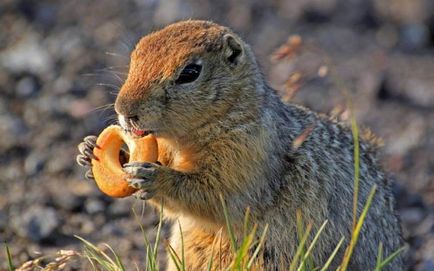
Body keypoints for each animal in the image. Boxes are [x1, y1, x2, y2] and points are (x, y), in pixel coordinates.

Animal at [76, 20, 406, 270]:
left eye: (190, 73)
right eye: (136, 55)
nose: (123, 109)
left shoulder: (247, 153)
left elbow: (217, 194)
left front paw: (154, 177)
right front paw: (89, 150)